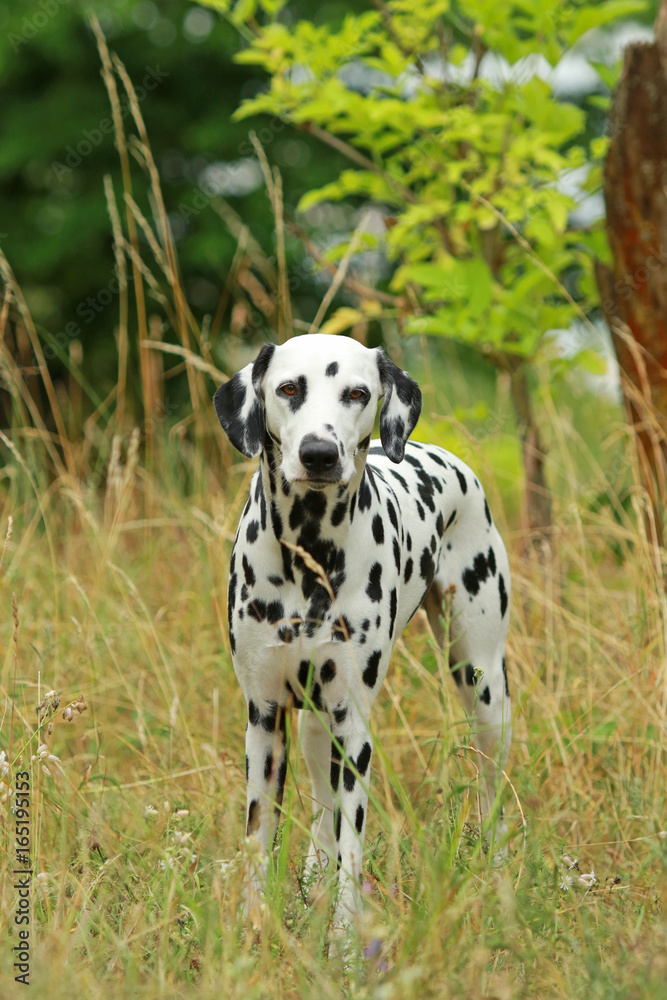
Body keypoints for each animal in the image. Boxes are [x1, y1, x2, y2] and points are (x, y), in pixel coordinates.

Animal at [214, 334, 512, 928]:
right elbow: (259, 838)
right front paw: (254, 929)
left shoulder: (354, 731)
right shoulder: (264, 720)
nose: (319, 454)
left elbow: (351, 851)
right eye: (288, 388)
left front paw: (345, 941)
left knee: (492, 790)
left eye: (357, 393)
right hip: (311, 726)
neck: (308, 555)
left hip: (484, 688)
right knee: (319, 811)